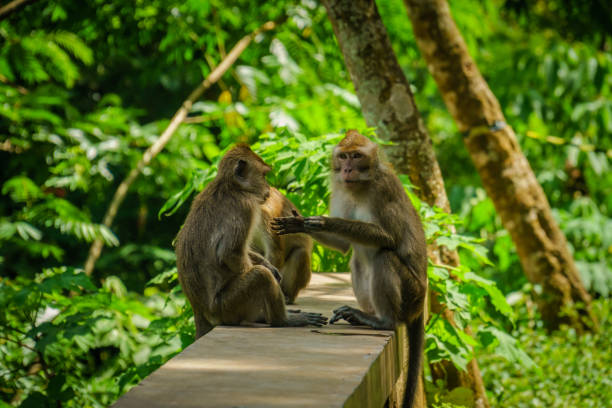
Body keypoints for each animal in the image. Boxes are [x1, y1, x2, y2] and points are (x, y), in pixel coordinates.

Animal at [175, 145, 328, 340]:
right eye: (263, 175)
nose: (268, 188)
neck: (229, 186)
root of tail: (200, 313)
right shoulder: (246, 207)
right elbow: (230, 253)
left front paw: (269, 265)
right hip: (227, 307)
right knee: (260, 275)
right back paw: (281, 320)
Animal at [274, 131, 428, 408]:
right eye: (344, 156)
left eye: (357, 156)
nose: (346, 169)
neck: (360, 186)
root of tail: (421, 301)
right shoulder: (340, 189)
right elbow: (344, 245)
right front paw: (300, 223)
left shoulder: (383, 190)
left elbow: (388, 237)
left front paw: (326, 221)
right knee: (358, 259)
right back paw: (363, 315)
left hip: (411, 292)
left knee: (383, 256)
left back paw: (382, 320)